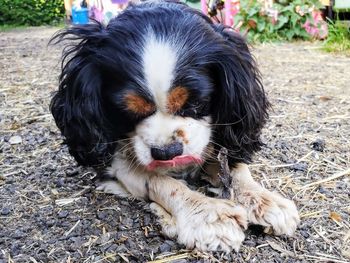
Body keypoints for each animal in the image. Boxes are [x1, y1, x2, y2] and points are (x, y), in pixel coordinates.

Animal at [50, 0, 300, 253]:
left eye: (196, 103)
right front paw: (208, 214)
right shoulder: (118, 161)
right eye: (127, 111)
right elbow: (163, 182)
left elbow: (236, 167)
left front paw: (262, 199)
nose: (166, 152)